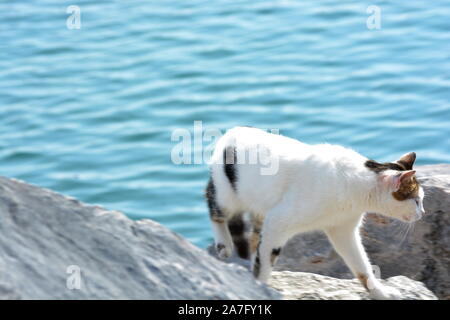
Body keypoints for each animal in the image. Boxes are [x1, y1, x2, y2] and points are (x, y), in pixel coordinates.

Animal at [206, 125, 424, 300]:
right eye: (416, 200)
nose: (422, 213)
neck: (357, 184)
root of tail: (233, 131)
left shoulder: (343, 230)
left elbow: (362, 267)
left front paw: (380, 292)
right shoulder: (278, 221)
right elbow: (266, 260)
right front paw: (259, 286)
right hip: (227, 195)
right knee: (214, 205)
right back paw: (224, 244)